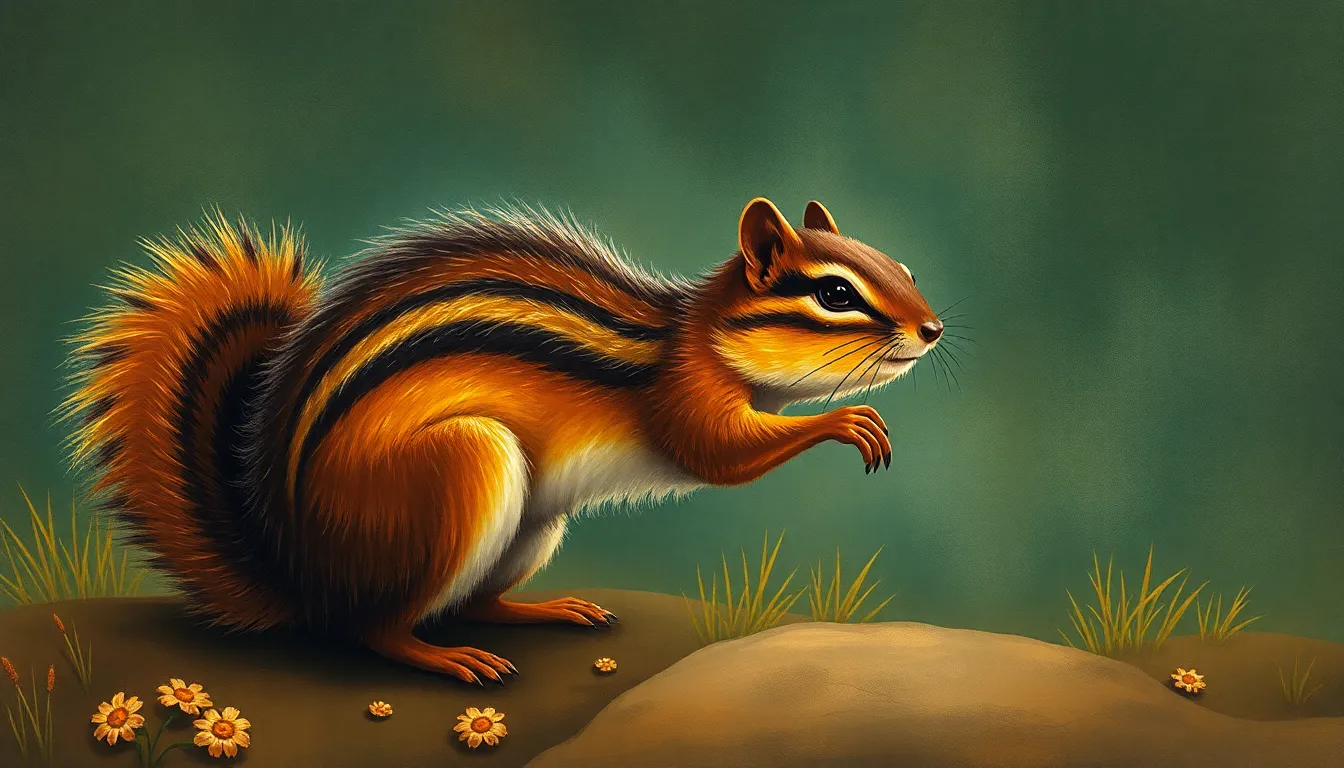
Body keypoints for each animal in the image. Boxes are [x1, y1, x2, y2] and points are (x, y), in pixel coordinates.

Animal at [63, 197, 943, 684]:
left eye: (900, 265)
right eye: (836, 294)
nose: (933, 330)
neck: (697, 335)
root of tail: (299, 575)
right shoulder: (685, 402)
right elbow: (718, 454)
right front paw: (846, 422)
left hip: (533, 524)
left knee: (476, 601)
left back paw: (550, 608)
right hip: (465, 467)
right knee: (373, 629)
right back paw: (446, 660)